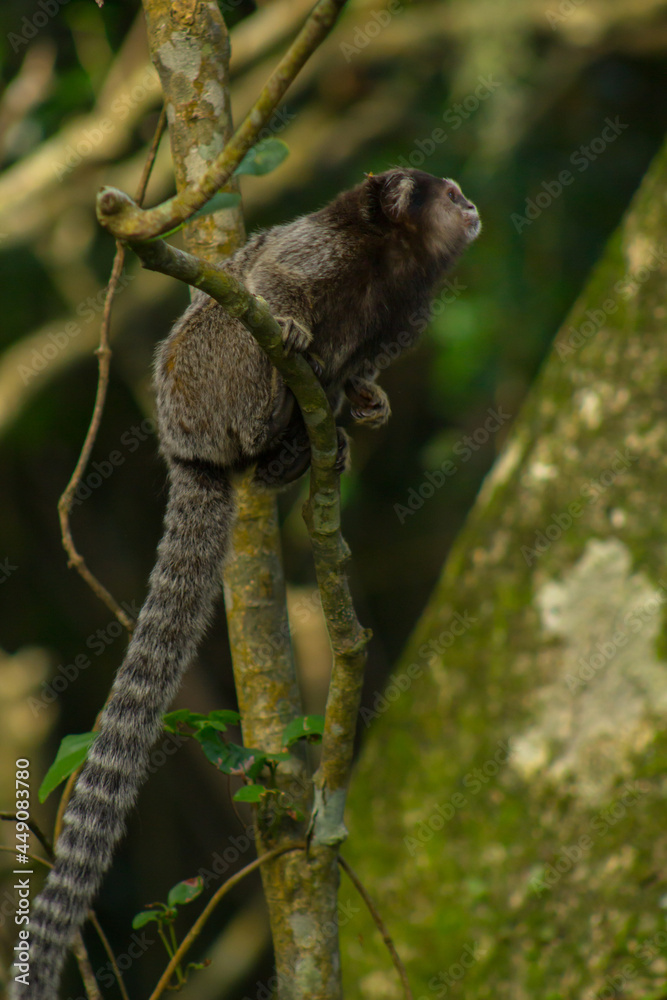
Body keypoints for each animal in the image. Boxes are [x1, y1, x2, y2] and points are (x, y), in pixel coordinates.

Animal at [11, 168, 480, 1000]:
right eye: (448, 195)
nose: (472, 207)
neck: (388, 262)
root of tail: (183, 445)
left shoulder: (405, 316)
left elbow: (365, 367)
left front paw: (367, 400)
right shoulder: (317, 251)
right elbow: (273, 280)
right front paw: (294, 331)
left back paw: (297, 448)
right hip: (205, 376)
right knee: (239, 333)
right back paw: (276, 414)